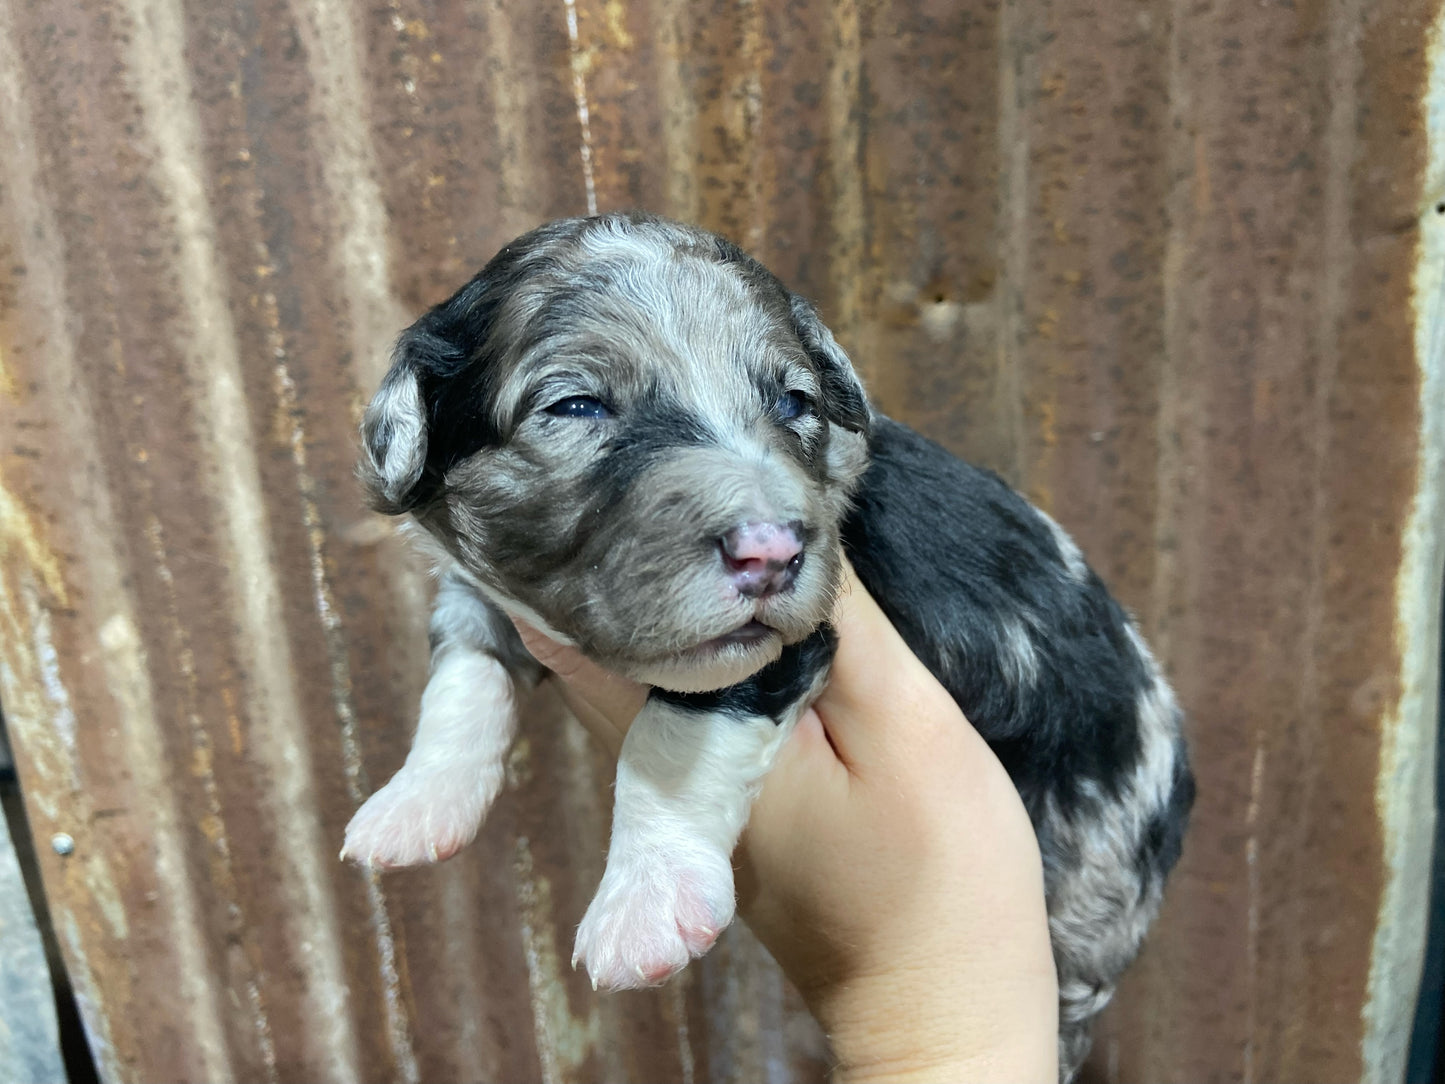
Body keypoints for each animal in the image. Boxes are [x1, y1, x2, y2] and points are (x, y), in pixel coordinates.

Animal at [343, 212, 1190, 1081]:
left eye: (793, 400)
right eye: (576, 405)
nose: (772, 552)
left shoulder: (787, 639)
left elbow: (669, 734)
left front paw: (645, 904)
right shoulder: (487, 593)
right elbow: (462, 672)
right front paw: (415, 802)